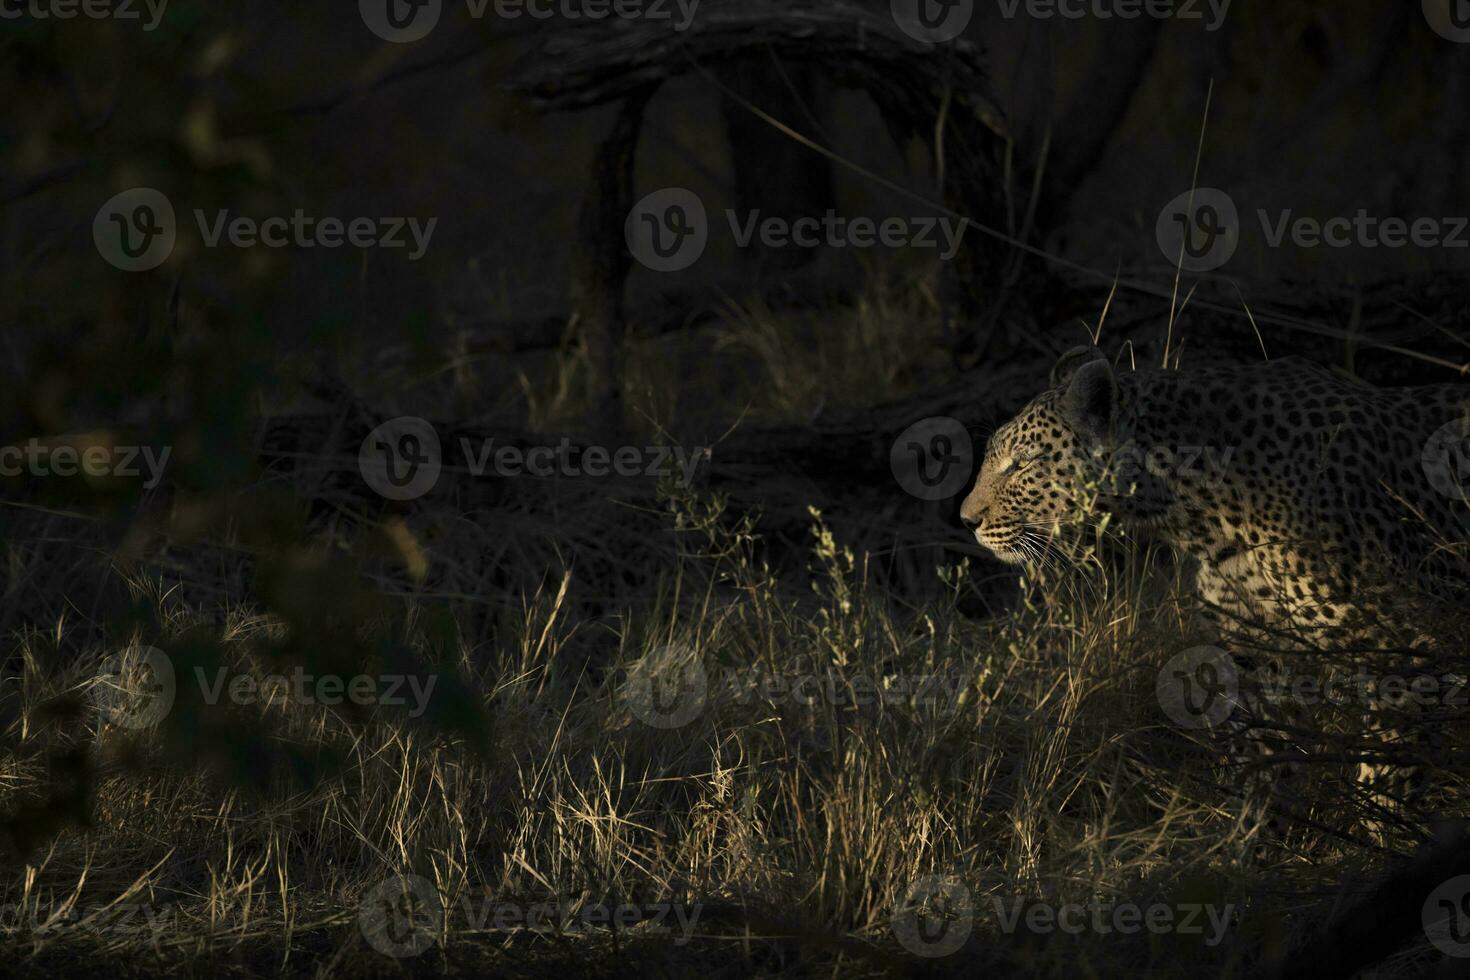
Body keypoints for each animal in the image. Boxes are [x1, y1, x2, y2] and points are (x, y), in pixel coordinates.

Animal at [958, 348, 1470, 846]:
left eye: (1022, 463)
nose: (967, 520)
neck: (1200, 518)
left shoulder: (1403, 644)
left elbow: (1387, 770)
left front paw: (1388, 842)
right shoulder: (1258, 653)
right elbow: (1261, 759)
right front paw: (1248, 847)